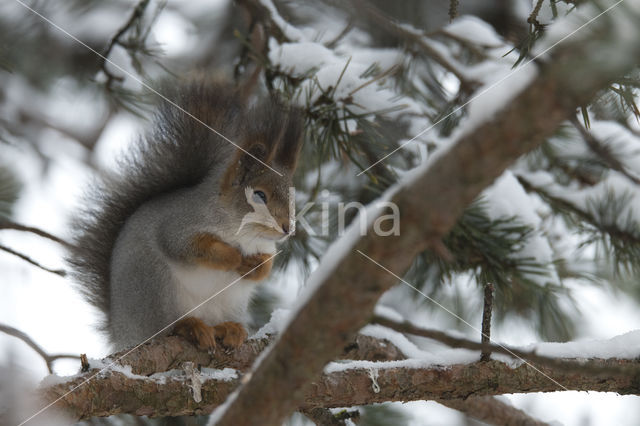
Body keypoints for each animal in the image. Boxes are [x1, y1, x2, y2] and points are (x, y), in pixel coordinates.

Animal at [67, 78, 304, 352]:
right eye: (259, 195)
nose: (288, 228)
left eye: (292, 194)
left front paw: (253, 266)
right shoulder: (178, 225)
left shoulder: (266, 246)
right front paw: (233, 257)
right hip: (155, 288)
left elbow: (266, 266)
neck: (242, 233)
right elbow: (188, 247)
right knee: (165, 329)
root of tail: (121, 333)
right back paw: (189, 327)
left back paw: (230, 329)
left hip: (230, 303)